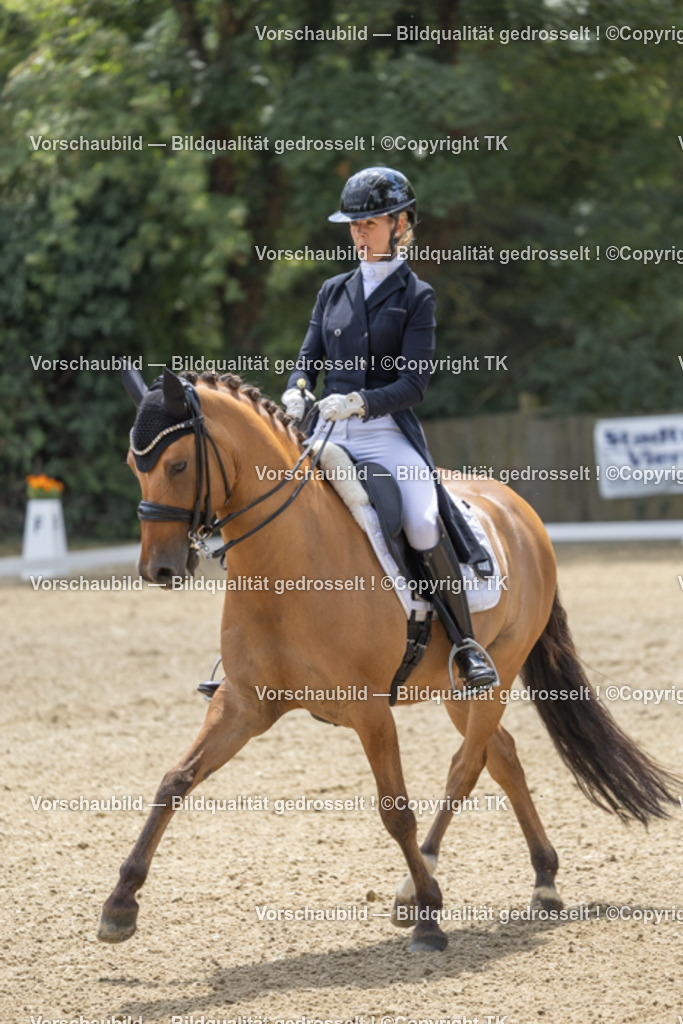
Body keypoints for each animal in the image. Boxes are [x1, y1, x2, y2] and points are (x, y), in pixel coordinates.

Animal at [98, 367, 681, 953]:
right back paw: (543, 880)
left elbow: (395, 811)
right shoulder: (244, 704)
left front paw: (429, 915)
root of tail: (518, 508)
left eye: (178, 464)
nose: (157, 569)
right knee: (503, 758)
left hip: (497, 672)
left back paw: (419, 885)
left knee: (465, 767)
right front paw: (120, 904)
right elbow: (175, 780)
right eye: (133, 466)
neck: (288, 558)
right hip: (455, 689)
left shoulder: (369, 710)